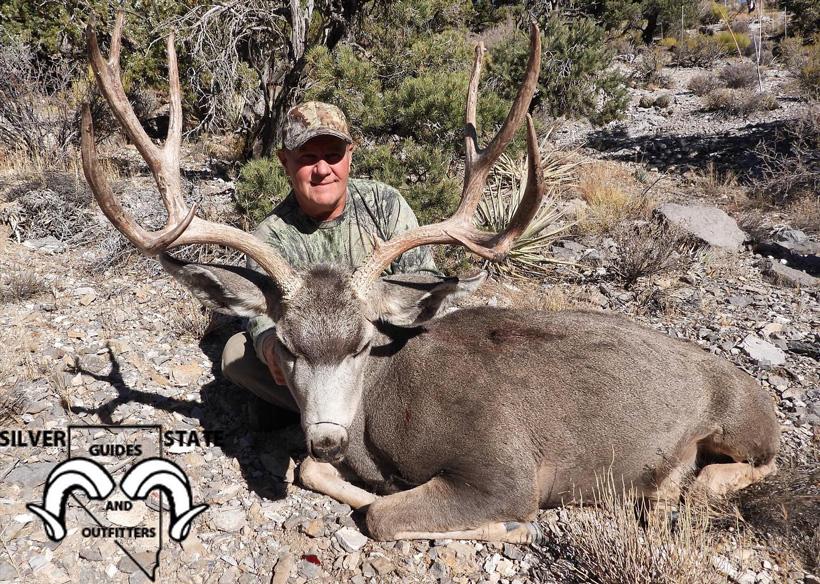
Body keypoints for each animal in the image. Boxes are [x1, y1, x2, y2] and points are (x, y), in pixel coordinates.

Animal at [81, 14, 780, 544]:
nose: (328, 434)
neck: (384, 414)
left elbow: (383, 516)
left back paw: (674, 487)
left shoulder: (506, 466)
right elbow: (315, 475)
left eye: (364, 344)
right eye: (287, 346)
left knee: (756, 465)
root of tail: (754, 389)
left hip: (742, 422)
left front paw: (506, 528)